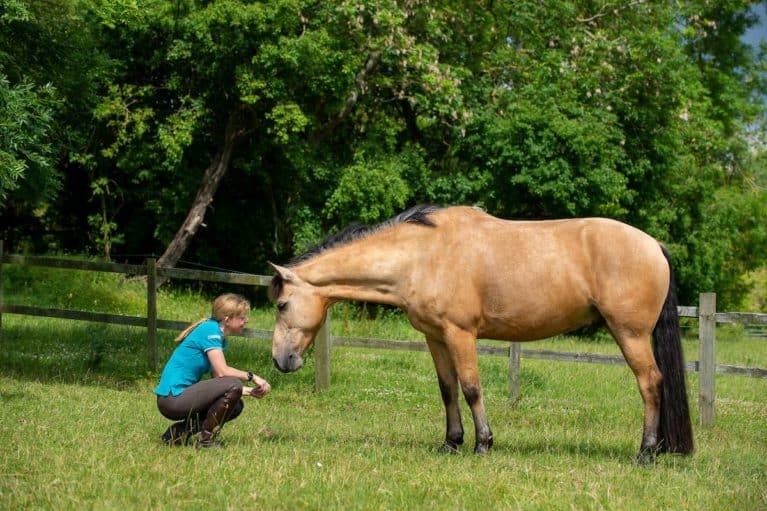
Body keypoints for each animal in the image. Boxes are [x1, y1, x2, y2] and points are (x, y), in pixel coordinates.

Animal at [270, 205, 696, 464]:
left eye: (282, 305)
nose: (280, 361)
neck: (423, 254)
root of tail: (654, 245)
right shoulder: (436, 337)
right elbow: (447, 390)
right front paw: (451, 442)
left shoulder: (460, 334)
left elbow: (472, 387)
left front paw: (483, 443)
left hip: (631, 334)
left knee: (650, 384)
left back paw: (646, 453)